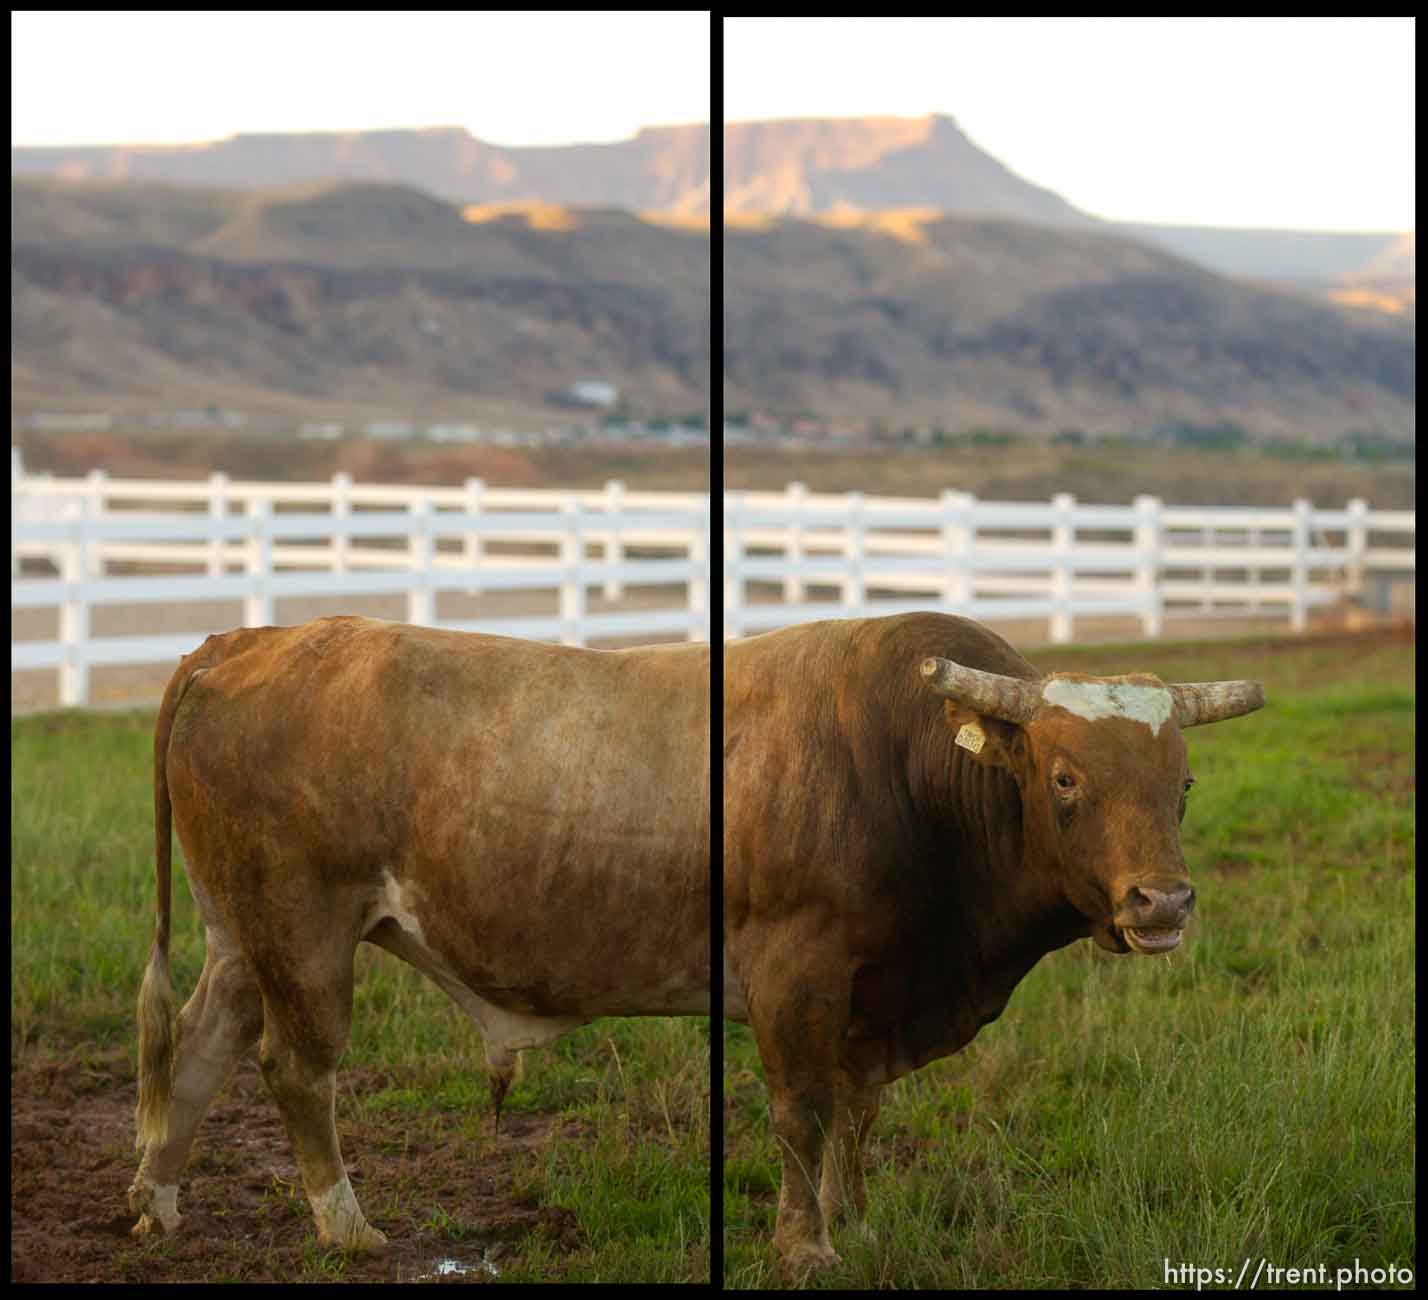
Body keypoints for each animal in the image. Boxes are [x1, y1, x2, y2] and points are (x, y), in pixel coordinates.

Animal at [128, 617, 708, 1251]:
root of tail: (252, 641)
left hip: (239, 932)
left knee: (200, 1039)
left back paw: (156, 1205)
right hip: (302, 931)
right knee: (295, 1066)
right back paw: (350, 1230)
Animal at [725, 617, 1262, 1280]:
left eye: (1183, 784)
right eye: (1064, 778)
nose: (1163, 901)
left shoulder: (874, 996)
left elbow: (856, 1109)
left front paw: (850, 1221)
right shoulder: (792, 981)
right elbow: (803, 1112)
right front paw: (805, 1248)